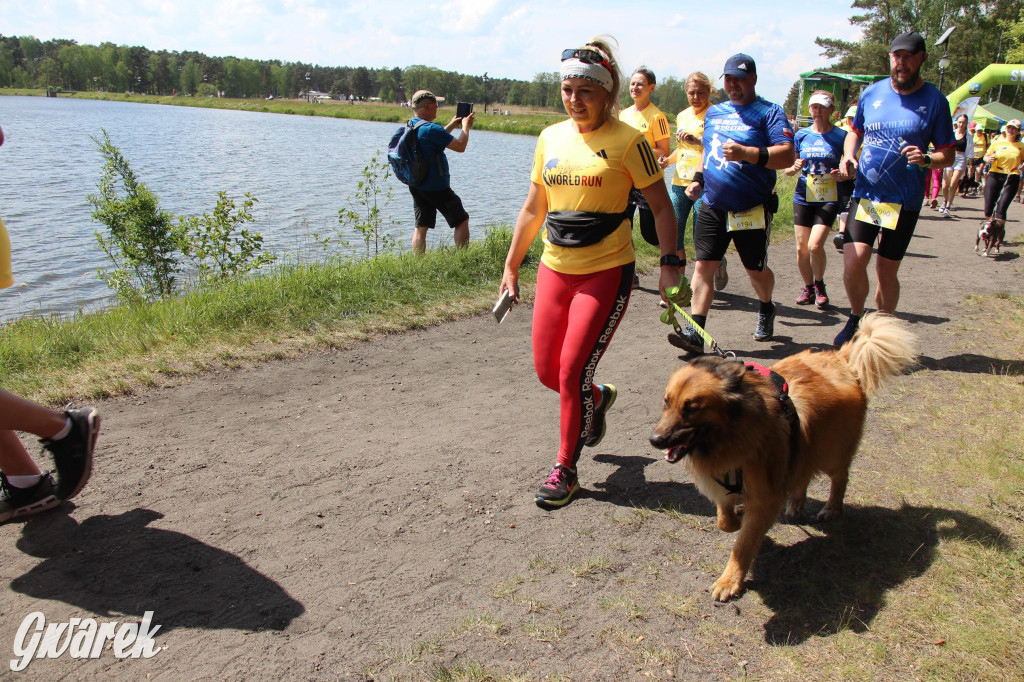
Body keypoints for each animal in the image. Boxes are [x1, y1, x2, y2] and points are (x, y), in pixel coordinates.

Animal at [651, 313, 917, 602]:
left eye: (691, 409)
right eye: (666, 402)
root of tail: (841, 359)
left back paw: (832, 508)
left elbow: (743, 545)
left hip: (831, 452)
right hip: (803, 447)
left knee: (840, 478)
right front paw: (736, 518)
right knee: (801, 475)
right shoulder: (724, 481)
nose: (655, 440)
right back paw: (796, 503)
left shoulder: (764, 497)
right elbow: (725, 521)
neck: (734, 430)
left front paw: (729, 580)